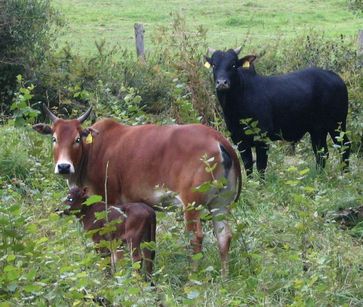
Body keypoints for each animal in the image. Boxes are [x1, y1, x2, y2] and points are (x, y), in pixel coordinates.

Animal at [33, 106, 242, 276]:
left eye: (77, 139)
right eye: (54, 138)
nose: (63, 167)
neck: (93, 151)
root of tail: (219, 140)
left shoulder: (111, 202)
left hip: (191, 203)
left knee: (196, 237)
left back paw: (193, 277)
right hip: (220, 204)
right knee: (224, 236)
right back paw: (224, 277)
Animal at [206, 47, 352, 177]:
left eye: (233, 64)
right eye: (214, 65)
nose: (222, 83)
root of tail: (335, 77)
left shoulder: (262, 138)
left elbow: (261, 166)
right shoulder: (239, 139)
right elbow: (248, 166)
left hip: (337, 125)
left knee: (344, 147)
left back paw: (344, 175)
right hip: (317, 130)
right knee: (321, 153)